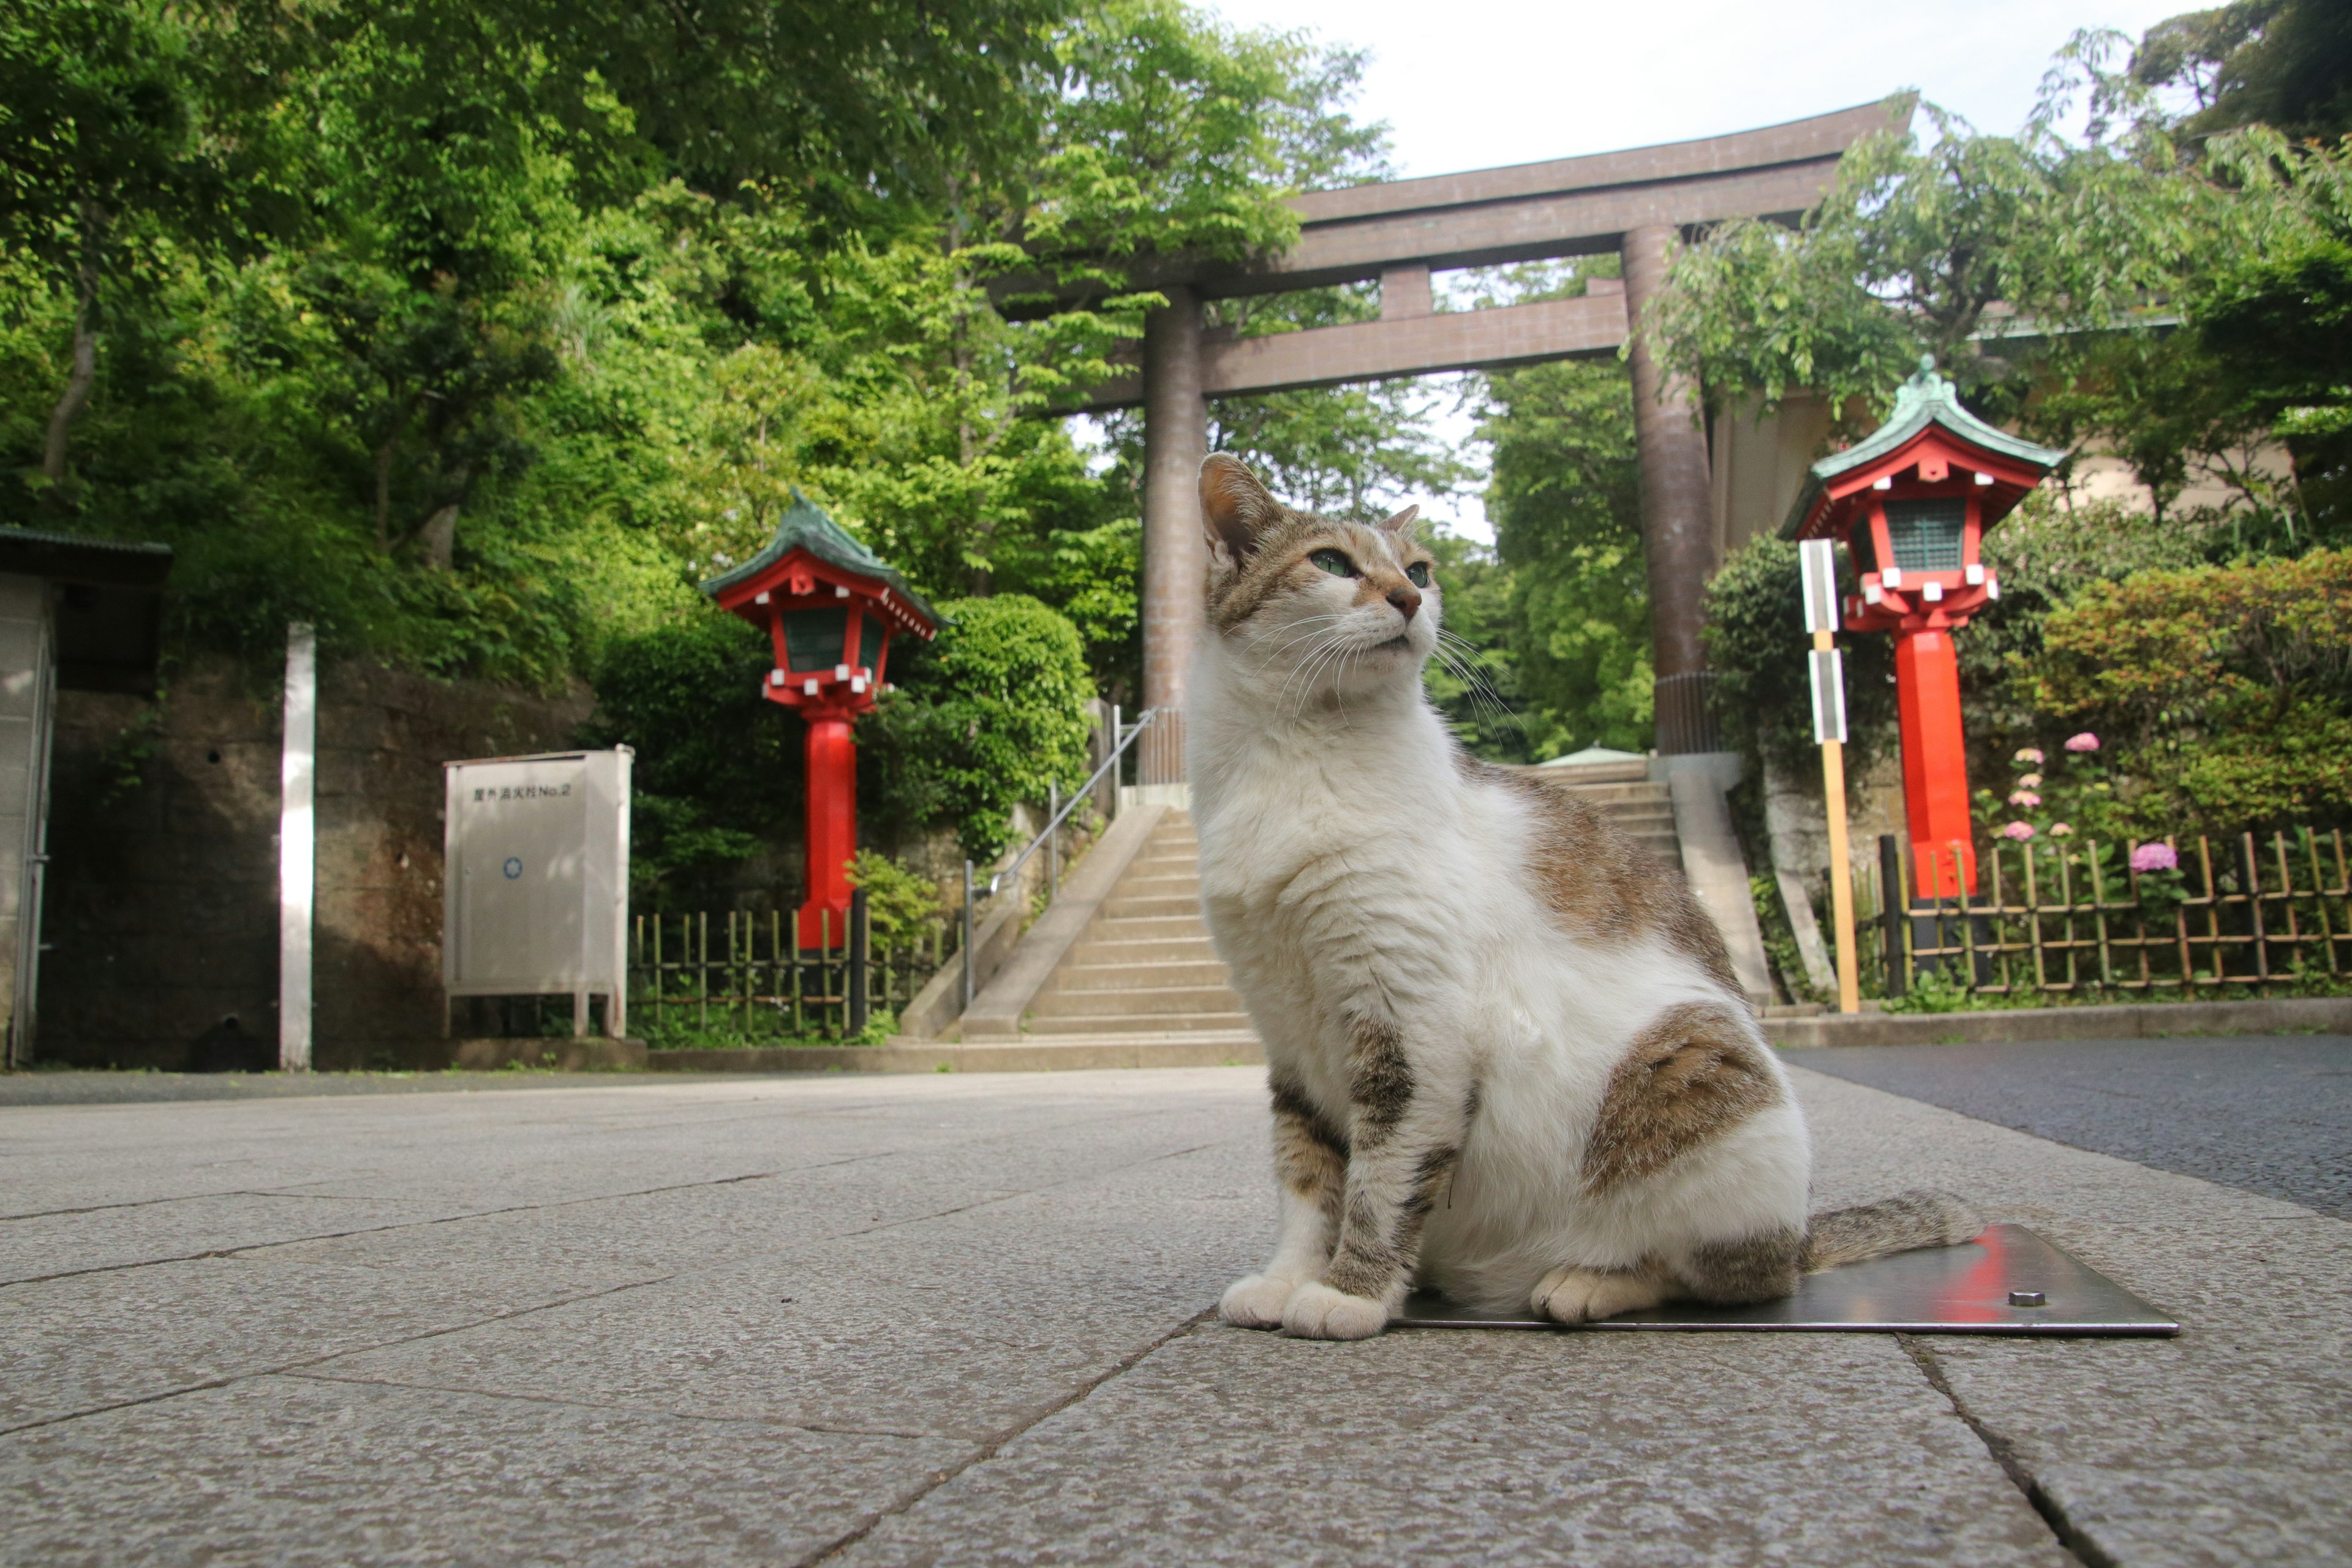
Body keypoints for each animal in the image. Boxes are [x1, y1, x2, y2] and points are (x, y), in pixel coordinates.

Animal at [1185, 451, 1975, 1335]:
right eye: (1331, 562)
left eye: (1418, 570)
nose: (1409, 600)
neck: (1296, 751)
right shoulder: (1287, 1032)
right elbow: (1307, 1175)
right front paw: (1288, 1278)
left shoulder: (1413, 1022)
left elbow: (1382, 1179)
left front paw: (1348, 1293)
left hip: (1695, 1061)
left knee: (1730, 1274)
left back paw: (1587, 1283)